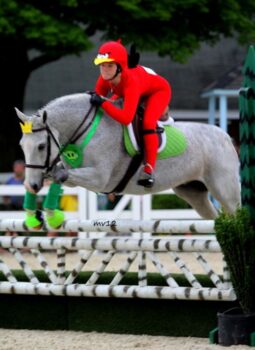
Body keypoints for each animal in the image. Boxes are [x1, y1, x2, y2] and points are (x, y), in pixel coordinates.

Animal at [16, 93, 241, 219]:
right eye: (22, 146)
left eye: (41, 146)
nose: (32, 185)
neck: (87, 128)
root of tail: (226, 136)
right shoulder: (75, 175)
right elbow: (61, 176)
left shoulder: (99, 178)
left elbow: (61, 175)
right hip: (193, 192)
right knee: (217, 221)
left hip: (224, 189)